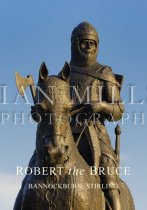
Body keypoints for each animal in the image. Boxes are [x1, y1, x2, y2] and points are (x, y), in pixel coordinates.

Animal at [13, 61, 134, 209]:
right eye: (40, 108)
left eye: (68, 108)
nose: (56, 152)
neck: (56, 173)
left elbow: (118, 107)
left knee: (111, 185)